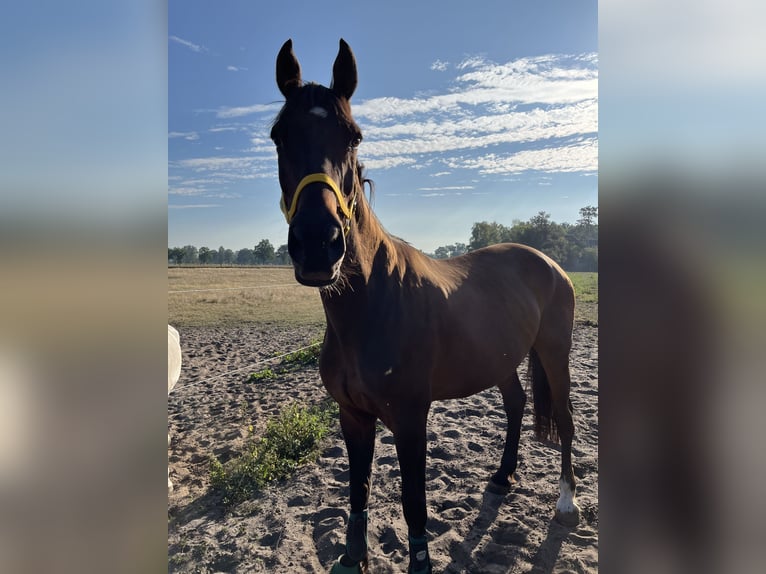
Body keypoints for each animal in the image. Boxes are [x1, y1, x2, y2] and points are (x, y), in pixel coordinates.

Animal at [272, 38, 580, 572]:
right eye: (277, 136)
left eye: (353, 137)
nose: (317, 244)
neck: (370, 307)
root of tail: (547, 261)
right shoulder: (352, 416)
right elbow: (357, 492)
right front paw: (352, 558)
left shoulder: (411, 418)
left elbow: (414, 503)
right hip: (500, 356)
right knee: (517, 402)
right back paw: (502, 477)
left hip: (553, 352)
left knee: (562, 416)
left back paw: (566, 503)